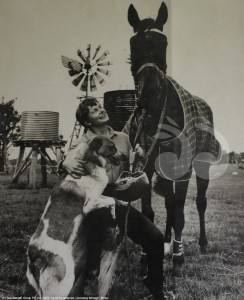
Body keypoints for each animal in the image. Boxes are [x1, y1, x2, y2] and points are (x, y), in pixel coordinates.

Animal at [26, 136, 124, 298]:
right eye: (112, 147)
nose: (126, 156)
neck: (88, 160)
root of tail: (36, 254)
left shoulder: (97, 197)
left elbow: (113, 199)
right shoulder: (89, 205)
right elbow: (111, 201)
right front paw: (114, 215)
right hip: (64, 281)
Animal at [125, 1, 222, 272]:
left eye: (164, 43)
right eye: (133, 44)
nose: (149, 91)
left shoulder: (183, 167)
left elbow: (179, 212)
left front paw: (179, 256)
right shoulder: (146, 167)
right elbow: (151, 212)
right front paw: (147, 255)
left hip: (201, 164)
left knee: (199, 202)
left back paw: (200, 243)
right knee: (169, 204)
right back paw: (167, 241)